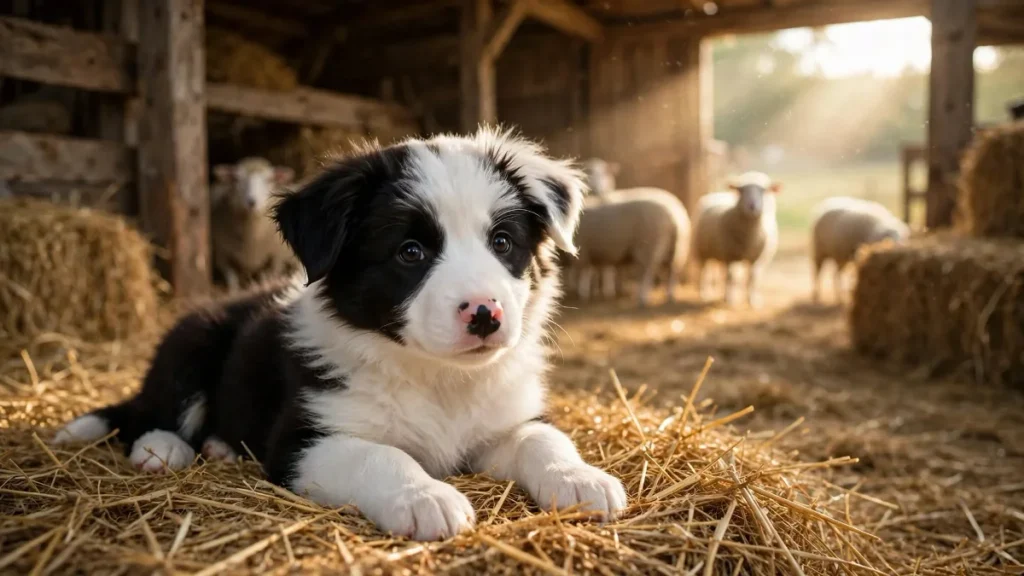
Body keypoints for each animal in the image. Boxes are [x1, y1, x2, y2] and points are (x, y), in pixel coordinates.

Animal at [211, 157, 297, 291]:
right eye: (237, 179)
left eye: (269, 179)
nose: (251, 202)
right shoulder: (222, 255)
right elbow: (231, 278)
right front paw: (234, 291)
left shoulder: (276, 257)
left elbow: (270, 273)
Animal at [691, 171, 781, 308]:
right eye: (741, 190)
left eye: (763, 191)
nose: (752, 206)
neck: (749, 236)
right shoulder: (730, 255)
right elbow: (731, 277)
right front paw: (729, 299)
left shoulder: (756, 258)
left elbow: (753, 278)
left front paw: (752, 301)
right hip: (702, 250)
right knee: (704, 271)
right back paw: (705, 293)